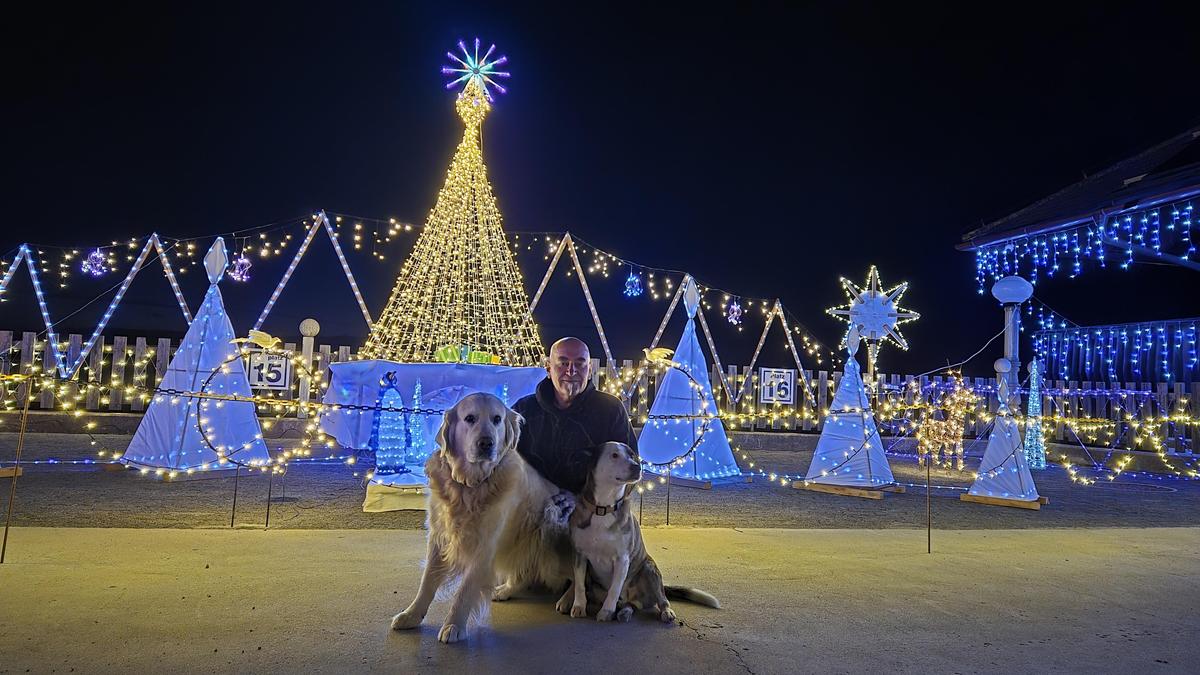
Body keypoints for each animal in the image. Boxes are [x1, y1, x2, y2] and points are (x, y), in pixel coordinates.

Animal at [386, 391, 568, 638]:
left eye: (497, 419)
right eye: (469, 418)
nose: (486, 443)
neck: (470, 485)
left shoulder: (485, 544)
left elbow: (465, 589)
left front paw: (453, 625)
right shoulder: (439, 536)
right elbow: (427, 582)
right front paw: (411, 615)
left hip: (550, 520)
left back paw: (569, 600)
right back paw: (504, 590)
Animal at [556, 441, 715, 619]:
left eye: (632, 455)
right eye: (614, 455)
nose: (637, 467)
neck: (603, 508)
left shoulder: (622, 559)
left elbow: (614, 589)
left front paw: (606, 611)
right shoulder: (579, 555)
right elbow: (579, 584)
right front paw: (579, 606)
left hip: (649, 569)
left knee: (661, 598)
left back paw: (664, 612)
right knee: (629, 604)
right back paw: (624, 612)